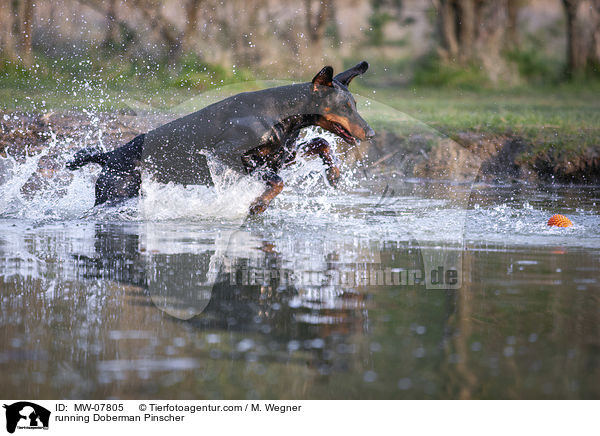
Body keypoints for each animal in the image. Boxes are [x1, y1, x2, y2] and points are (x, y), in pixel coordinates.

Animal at [67, 61, 376, 215]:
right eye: (344, 107)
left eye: (356, 104)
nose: (371, 133)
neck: (280, 113)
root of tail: (108, 155)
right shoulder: (229, 156)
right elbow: (277, 182)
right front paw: (257, 205)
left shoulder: (281, 155)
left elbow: (321, 143)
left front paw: (334, 174)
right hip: (114, 194)